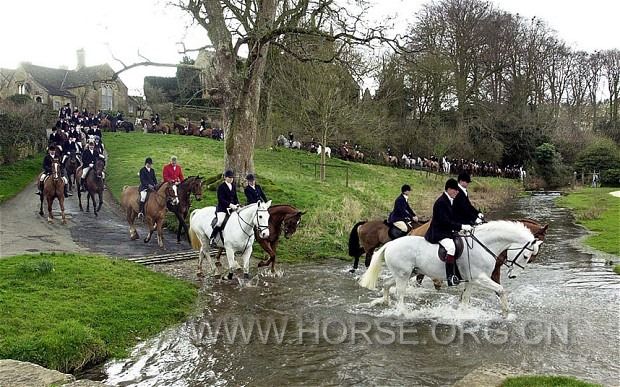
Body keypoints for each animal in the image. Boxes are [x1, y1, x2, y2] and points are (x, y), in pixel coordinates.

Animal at [358, 223, 544, 316]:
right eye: (526, 256)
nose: (513, 276)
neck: (483, 244)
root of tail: (390, 244)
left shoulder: (471, 280)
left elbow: (466, 298)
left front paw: (463, 314)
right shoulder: (480, 278)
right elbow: (500, 289)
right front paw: (506, 313)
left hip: (408, 273)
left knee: (386, 284)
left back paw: (384, 302)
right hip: (403, 275)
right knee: (400, 292)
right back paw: (402, 312)